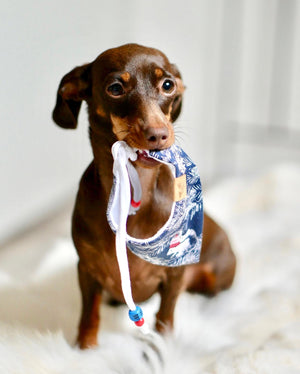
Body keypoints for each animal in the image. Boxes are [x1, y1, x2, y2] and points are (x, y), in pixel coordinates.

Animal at [53, 43, 237, 350]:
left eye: (168, 85)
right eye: (115, 88)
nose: (159, 135)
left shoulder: (174, 274)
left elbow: (165, 316)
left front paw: (164, 346)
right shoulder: (87, 270)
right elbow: (89, 314)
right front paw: (85, 349)